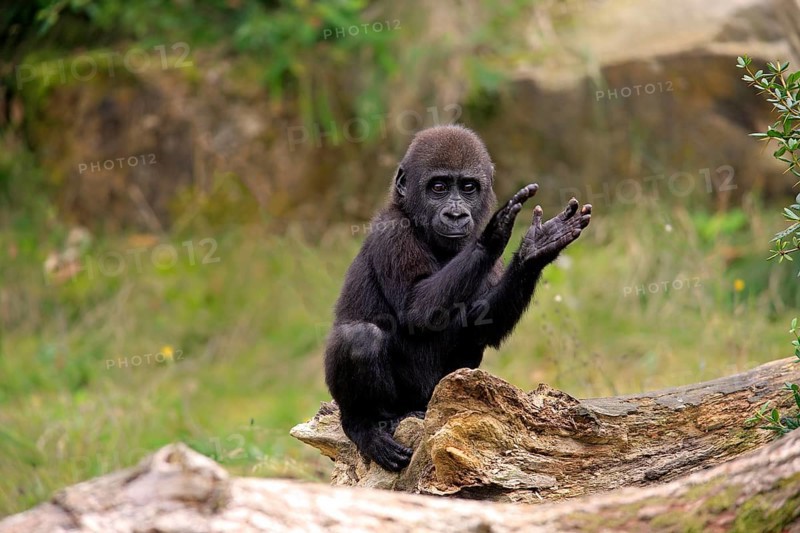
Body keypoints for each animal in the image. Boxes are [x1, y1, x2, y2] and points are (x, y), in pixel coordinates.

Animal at [324, 124, 591, 471]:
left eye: (468, 187)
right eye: (438, 187)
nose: (455, 213)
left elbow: (481, 323)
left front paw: (534, 251)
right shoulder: (392, 233)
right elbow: (415, 310)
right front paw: (493, 235)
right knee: (360, 337)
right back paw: (364, 426)